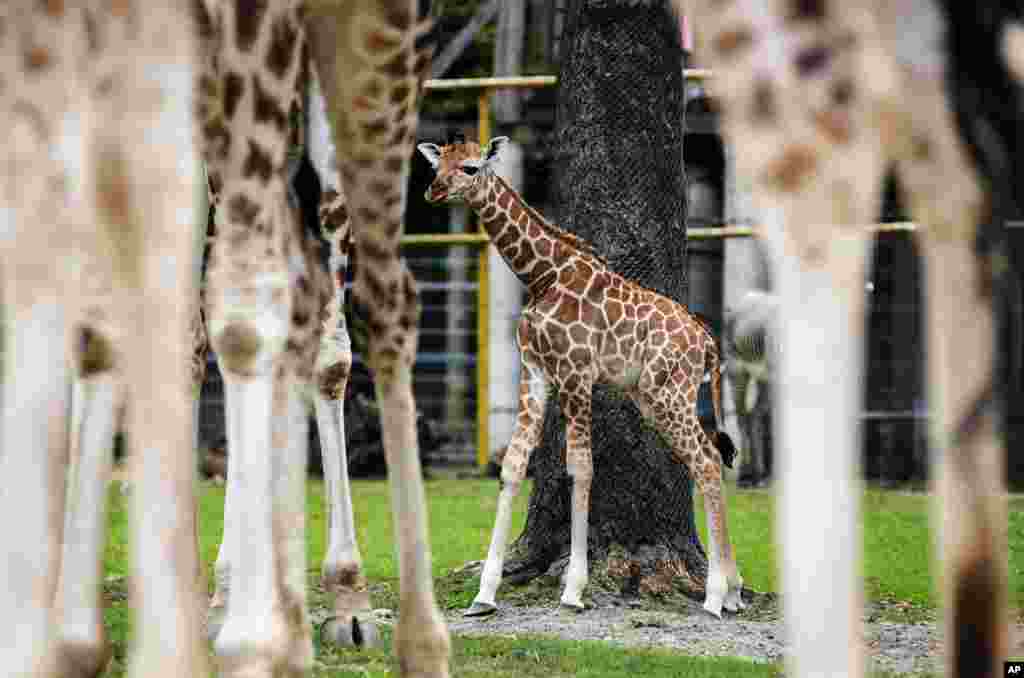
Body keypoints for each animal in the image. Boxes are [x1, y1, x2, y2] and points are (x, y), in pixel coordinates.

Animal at [419, 138, 741, 622]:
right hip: (654, 397)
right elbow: (513, 466)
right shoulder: (535, 370)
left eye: (471, 167)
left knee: (705, 460)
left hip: (671, 393)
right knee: (707, 459)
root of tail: (707, 343)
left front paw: (573, 589)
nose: (433, 192)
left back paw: (716, 596)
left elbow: (581, 467)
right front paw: (484, 593)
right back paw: (735, 591)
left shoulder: (575, 371)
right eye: (438, 164)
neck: (540, 275)